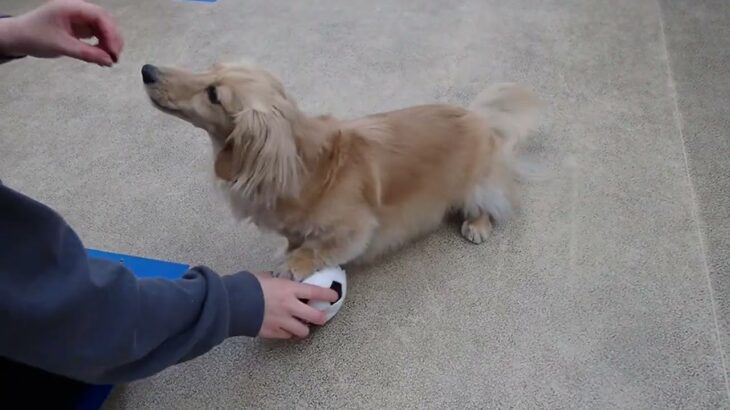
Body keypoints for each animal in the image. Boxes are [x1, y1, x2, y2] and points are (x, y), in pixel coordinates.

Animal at [142, 60, 540, 282]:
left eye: (213, 94)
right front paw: (291, 248)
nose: (147, 71)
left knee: (493, 203)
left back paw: (477, 223)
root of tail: (478, 118)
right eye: (209, 68)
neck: (305, 169)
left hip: (478, 186)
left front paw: (296, 262)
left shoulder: (358, 228)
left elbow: (322, 245)